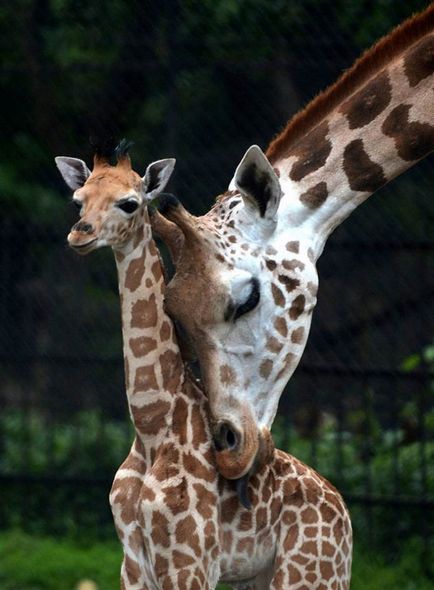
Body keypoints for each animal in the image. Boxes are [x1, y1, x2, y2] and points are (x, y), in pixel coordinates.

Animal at [55, 141, 352, 588]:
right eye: (79, 200)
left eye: (129, 202)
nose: (80, 234)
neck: (152, 427)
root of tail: (346, 516)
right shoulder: (133, 564)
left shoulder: (189, 561)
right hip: (258, 577)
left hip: (311, 572)